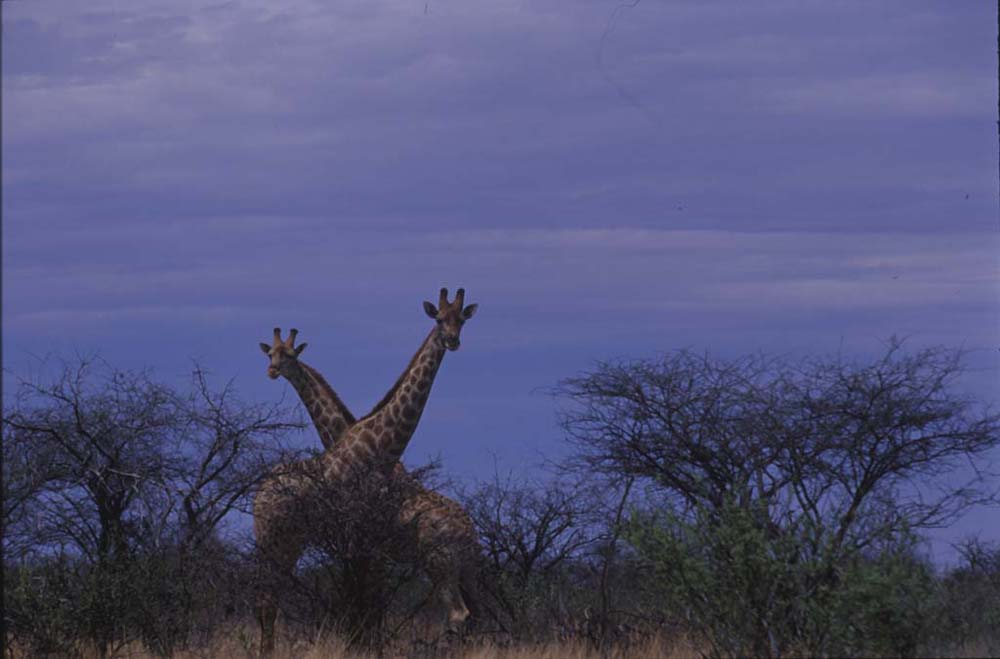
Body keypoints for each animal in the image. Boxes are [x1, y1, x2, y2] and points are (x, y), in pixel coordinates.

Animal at [254, 288, 480, 656]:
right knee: (267, 597)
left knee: (460, 614)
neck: (377, 450)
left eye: (460, 319)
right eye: (438, 318)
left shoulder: (368, 547)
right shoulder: (361, 545)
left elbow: (369, 607)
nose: (452, 340)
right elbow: (364, 606)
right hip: (275, 539)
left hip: (442, 561)